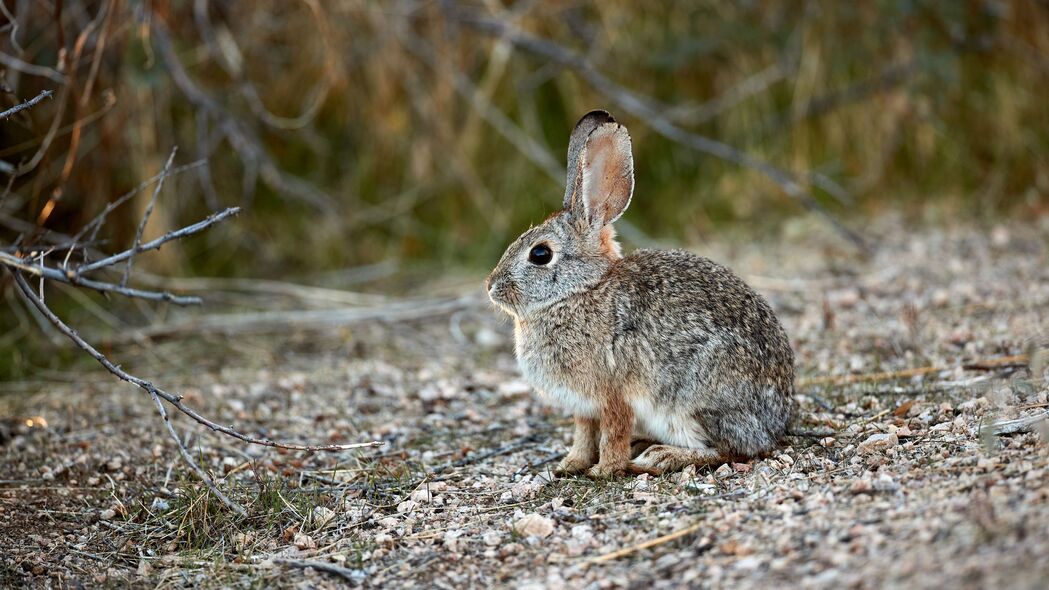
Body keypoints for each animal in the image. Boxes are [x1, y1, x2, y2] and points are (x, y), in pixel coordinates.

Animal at [484, 110, 793, 478]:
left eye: (540, 254)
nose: (491, 287)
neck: (579, 291)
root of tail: (774, 424)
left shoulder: (614, 395)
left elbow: (613, 433)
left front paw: (604, 470)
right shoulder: (583, 406)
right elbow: (583, 433)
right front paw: (569, 465)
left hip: (695, 402)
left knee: (731, 450)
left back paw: (660, 457)